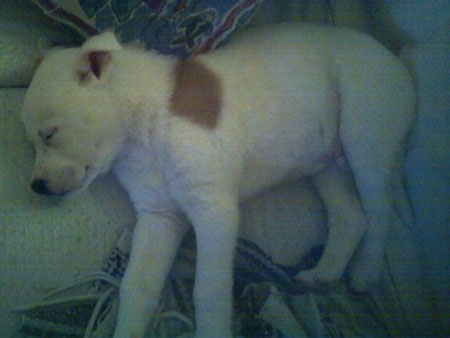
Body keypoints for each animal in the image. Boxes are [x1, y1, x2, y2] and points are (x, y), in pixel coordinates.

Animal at [21, 22, 414, 336]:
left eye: (50, 133)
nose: (36, 187)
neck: (144, 129)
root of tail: (394, 59)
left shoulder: (212, 209)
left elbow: (208, 293)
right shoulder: (159, 216)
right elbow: (137, 289)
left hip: (364, 136)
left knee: (379, 209)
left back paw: (366, 271)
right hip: (326, 164)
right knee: (352, 216)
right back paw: (324, 273)